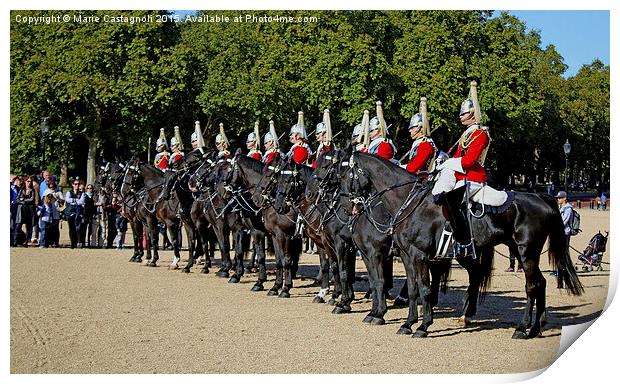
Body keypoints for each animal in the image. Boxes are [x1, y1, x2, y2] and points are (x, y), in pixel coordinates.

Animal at [348, 152, 580, 338]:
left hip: (526, 252)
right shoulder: (406, 255)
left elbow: (422, 288)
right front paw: (408, 324)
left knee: (531, 286)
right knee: (538, 283)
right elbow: (413, 289)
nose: (348, 200)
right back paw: (535, 327)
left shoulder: (416, 255)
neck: (408, 203)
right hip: (515, 251)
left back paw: (522, 328)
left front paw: (422, 326)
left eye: (346, 171)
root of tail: (540, 196)